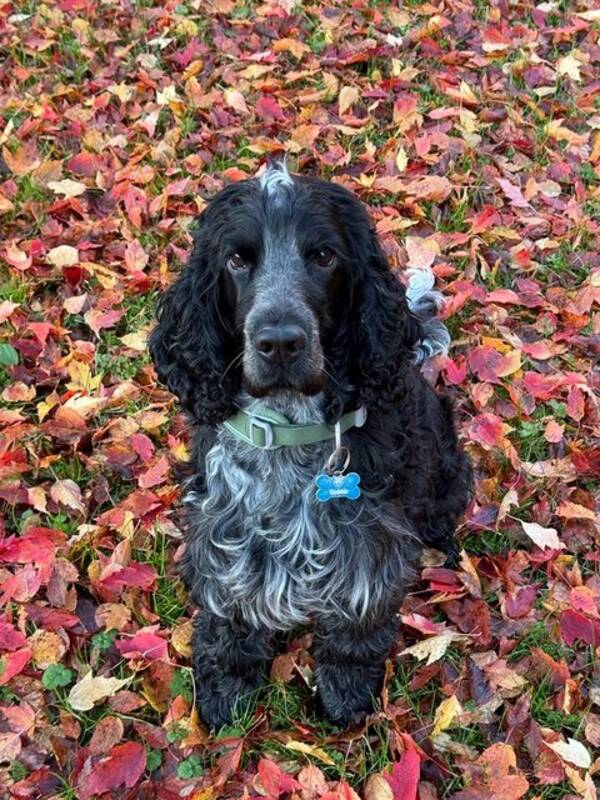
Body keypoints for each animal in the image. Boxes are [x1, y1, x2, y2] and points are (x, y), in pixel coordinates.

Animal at [149, 162, 468, 732]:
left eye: (323, 256)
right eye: (237, 259)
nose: (280, 343)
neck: (288, 431)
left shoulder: (370, 546)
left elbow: (356, 629)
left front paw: (346, 691)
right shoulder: (220, 533)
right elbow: (229, 618)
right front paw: (227, 688)